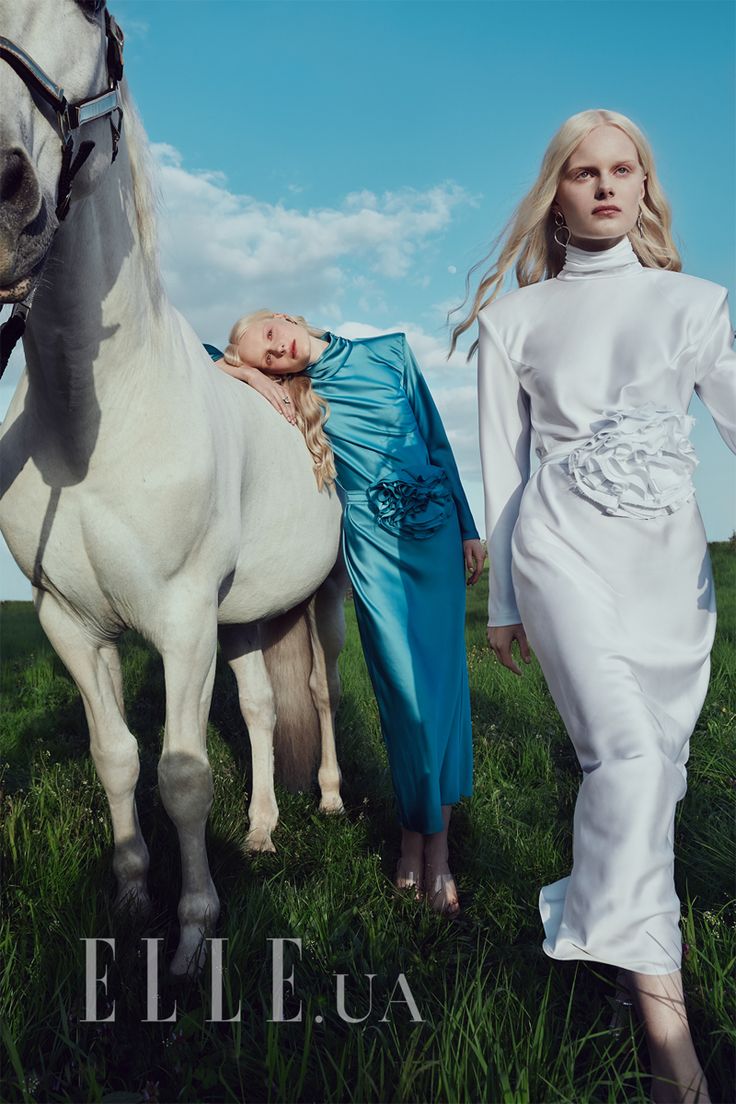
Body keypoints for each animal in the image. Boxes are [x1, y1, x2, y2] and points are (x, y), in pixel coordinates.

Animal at [0, 0, 346, 975]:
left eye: (91, 12)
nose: (2, 192)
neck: (93, 423)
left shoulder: (184, 621)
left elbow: (182, 777)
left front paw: (192, 935)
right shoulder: (72, 624)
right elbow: (117, 759)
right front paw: (129, 898)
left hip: (320, 603)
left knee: (321, 700)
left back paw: (331, 798)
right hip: (251, 617)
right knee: (264, 712)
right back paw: (263, 829)